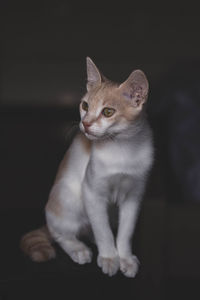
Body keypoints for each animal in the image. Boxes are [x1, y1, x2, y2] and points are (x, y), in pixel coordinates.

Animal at [20, 57, 153, 278]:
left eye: (108, 112)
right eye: (85, 105)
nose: (86, 123)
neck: (122, 149)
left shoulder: (134, 195)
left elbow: (125, 231)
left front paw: (124, 257)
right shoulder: (92, 192)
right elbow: (102, 230)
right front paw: (109, 257)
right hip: (68, 197)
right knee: (60, 232)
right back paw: (78, 248)